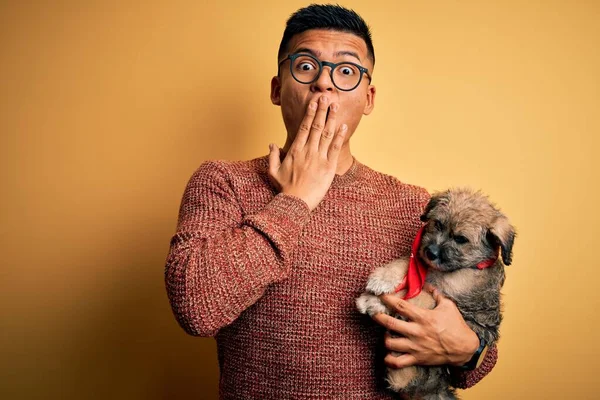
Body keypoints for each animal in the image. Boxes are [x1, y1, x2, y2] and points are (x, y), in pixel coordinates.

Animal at [356, 188, 516, 400]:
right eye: (438, 224)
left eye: (461, 239)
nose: (430, 252)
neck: (468, 266)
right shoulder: (423, 264)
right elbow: (406, 262)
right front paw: (382, 278)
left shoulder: (445, 296)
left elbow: (417, 294)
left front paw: (374, 300)